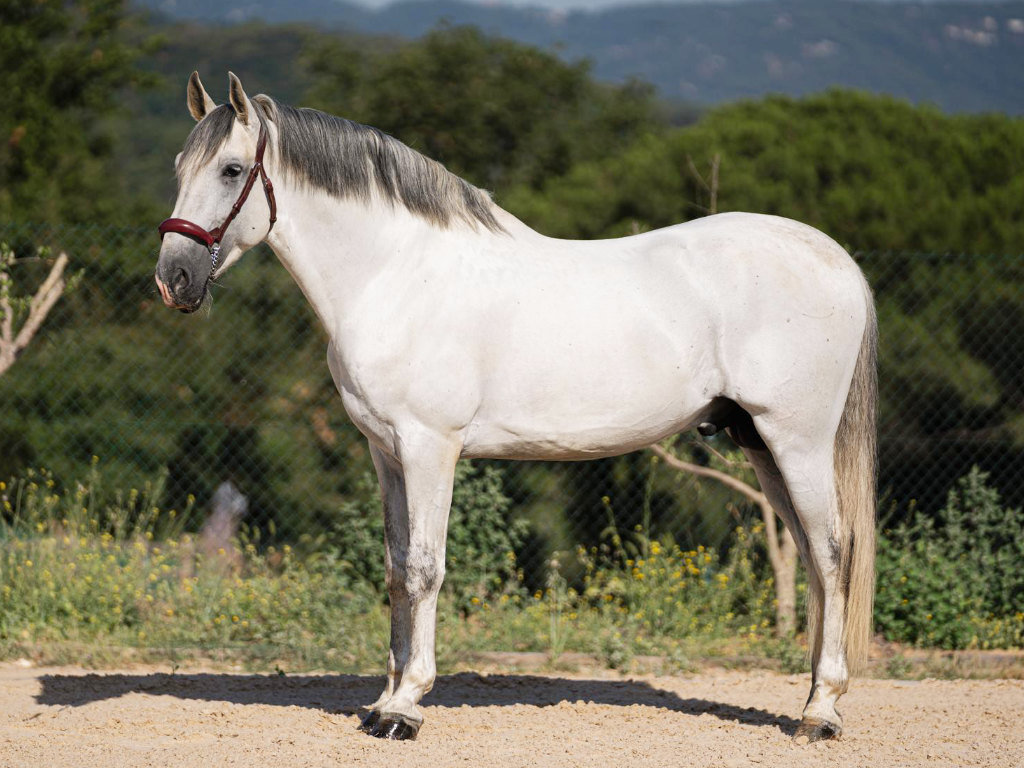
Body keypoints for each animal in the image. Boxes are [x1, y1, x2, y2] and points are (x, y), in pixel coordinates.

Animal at [155, 72, 877, 743]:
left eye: (232, 169)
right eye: (178, 166)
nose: (173, 280)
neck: (395, 275)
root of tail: (836, 259)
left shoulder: (430, 446)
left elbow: (425, 568)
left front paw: (405, 708)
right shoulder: (386, 452)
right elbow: (395, 568)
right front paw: (381, 701)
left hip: (798, 441)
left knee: (832, 550)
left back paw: (820, 714)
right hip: (759, 442)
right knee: (813, 557)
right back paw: (815, 700)